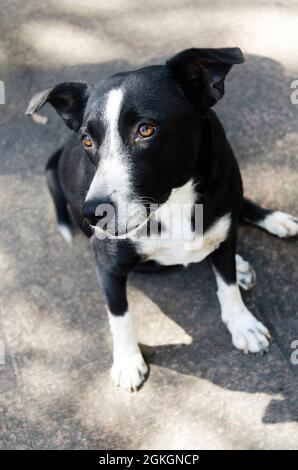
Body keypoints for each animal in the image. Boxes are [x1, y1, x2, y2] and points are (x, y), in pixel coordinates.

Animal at [26, 48, 296, 390]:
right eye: (87, 140)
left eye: (146, 129)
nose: (94, 213)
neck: (171, 202)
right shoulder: (107, 263)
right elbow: (119, 314)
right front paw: (128, 361)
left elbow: (228, 284)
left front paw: (242, 324)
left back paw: (268, 227)